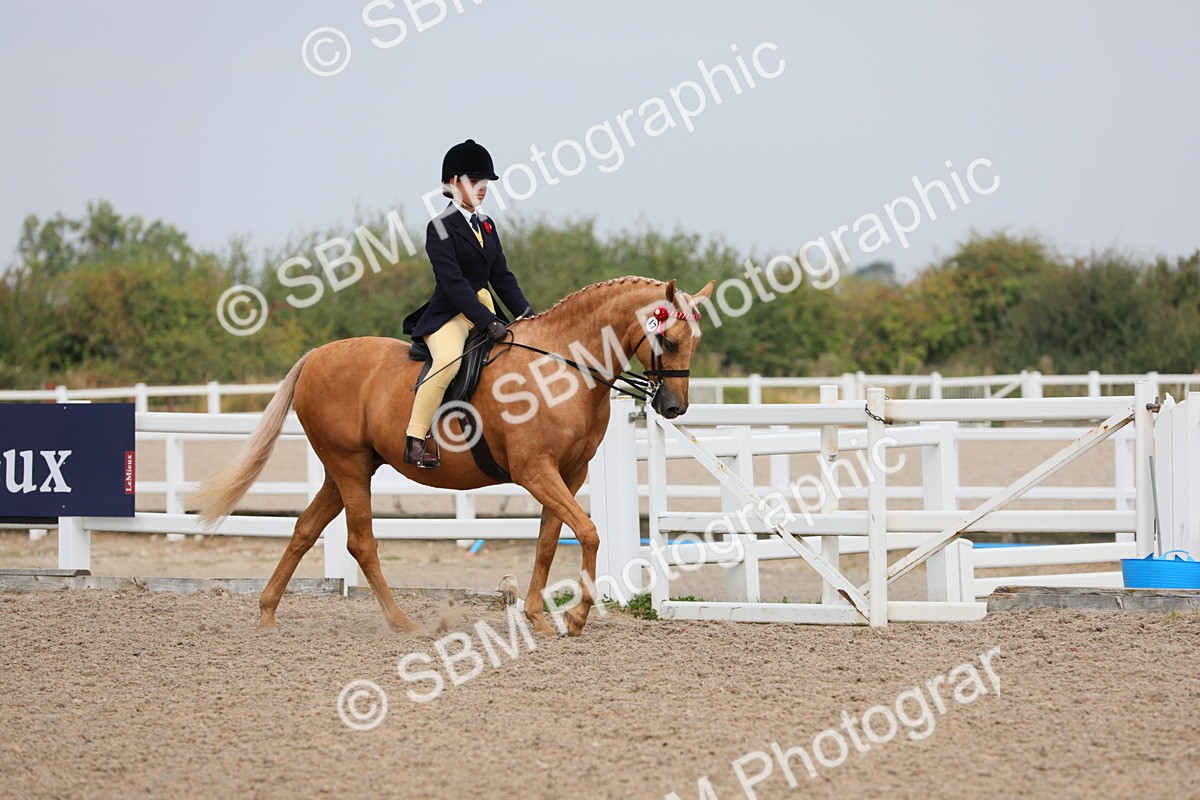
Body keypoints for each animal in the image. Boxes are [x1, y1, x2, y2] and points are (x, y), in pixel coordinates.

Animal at [189, 276, 714, 636]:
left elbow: (549, 542)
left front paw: (538, 619)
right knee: (361, 542)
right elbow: (587, 531)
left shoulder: (569, 473)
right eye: (667, 339)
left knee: (304, 530)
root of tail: (316, 355)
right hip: (349, 466)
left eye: (696, 341)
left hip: (345, 470)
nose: (673, 408)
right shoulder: (535, 470)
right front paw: (578, 618)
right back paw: (401, 623)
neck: (564, 367)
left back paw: (267, 614)